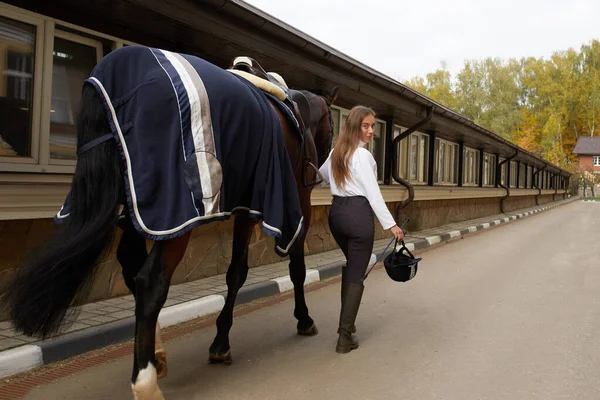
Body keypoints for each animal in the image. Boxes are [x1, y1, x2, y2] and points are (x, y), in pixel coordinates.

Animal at [1, 45, 338, 398]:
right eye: (332, 125)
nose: (321, 167)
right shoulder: (276, 204)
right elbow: (268, 270)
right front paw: (299, 320)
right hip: (175, 216)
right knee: (151, 282)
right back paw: (145, 381)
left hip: (138, 210)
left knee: (131, 268)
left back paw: (156, 354)